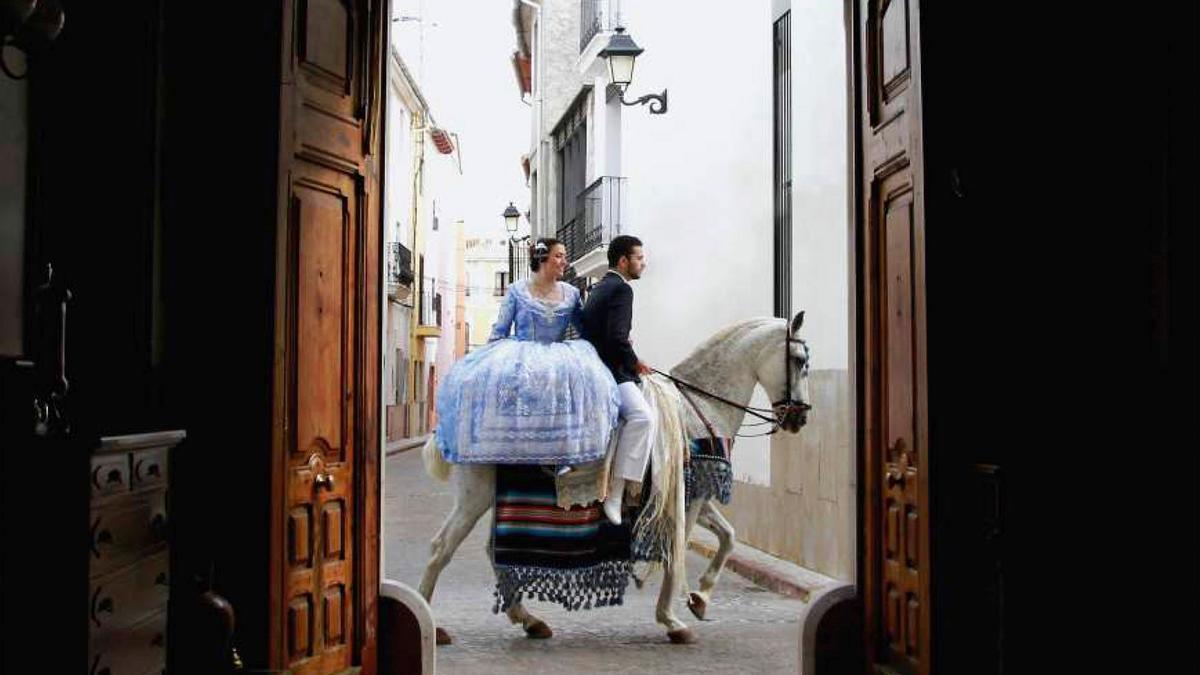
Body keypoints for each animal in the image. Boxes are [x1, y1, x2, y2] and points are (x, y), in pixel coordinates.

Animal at [417, 312, 811, 643]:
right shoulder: (690, 496)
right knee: (440, 548)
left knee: (492, 552)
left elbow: (728, 537)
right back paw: (432, 624)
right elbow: (678, 551)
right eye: (799, 361)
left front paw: (700, 597)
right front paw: (672, 619)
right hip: (476, 495)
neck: (700, 405)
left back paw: (529, 620)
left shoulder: (696, 493)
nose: (800, 418)